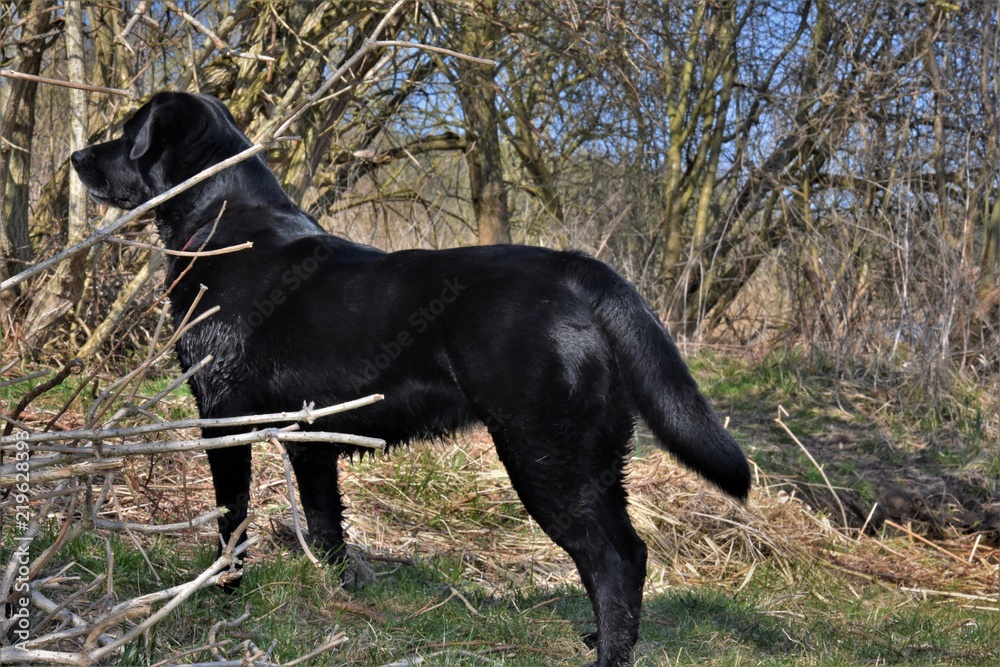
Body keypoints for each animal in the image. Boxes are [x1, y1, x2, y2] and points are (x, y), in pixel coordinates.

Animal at [74, 91, 752, 664]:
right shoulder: (310, 437)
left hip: (547, 457)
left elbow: (231, 518)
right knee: (630, 552)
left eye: (129, 133)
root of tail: (578, 271)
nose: (78, 157)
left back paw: (609, 656)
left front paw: (222, 593)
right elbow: (325, 523)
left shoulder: (222, 412)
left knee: (612, 560)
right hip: (596, 457)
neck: (223, 223)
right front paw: (339, 595)